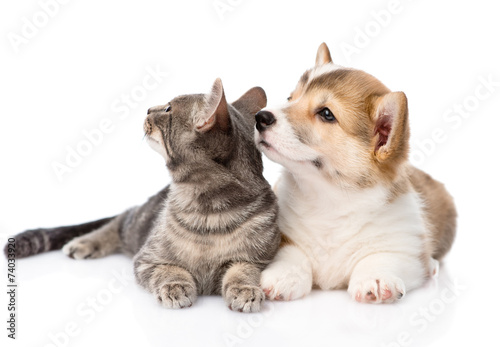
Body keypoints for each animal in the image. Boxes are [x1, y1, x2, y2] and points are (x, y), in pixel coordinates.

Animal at [3, 80, 280, 314]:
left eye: (167, 109)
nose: (148, 109)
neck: (208, 211)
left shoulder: (258, 259)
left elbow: (242, 271)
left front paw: (245, 290)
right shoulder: (148, 259)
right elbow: (169, 271)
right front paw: (175, 287)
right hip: (135, 223)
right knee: (117, 222)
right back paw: (85, 242)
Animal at [256, 43, 456, 304]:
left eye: (326, 114)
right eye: (291, 98)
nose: (260, 117)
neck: (330, 199)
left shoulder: (404, 247)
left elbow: (382, 257)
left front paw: (376, 279)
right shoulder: (283, 235)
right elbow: (291, 252)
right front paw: (284, 275)